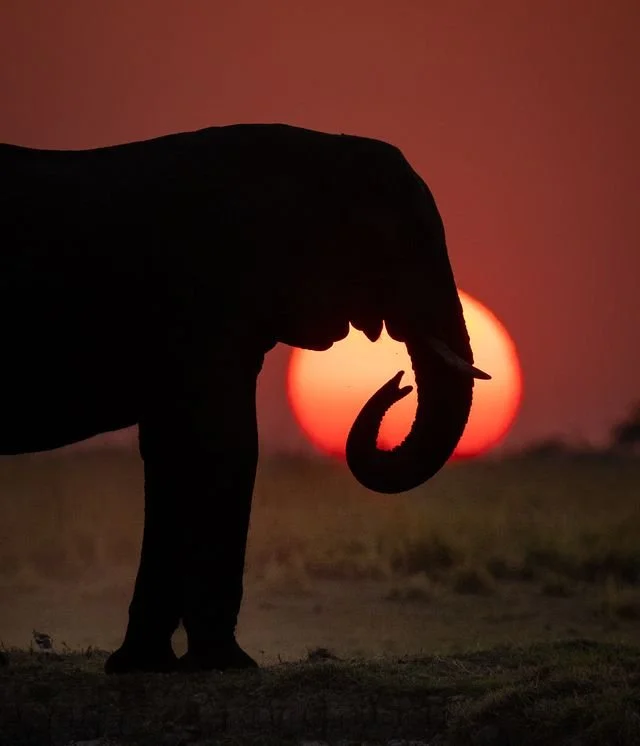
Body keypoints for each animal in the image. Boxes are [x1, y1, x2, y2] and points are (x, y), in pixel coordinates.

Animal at [0, 123, 489, 674]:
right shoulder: (212, 299)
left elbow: (173, 449)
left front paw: (144, 664)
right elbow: (227, 444)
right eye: (395, 243)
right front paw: (226, 663)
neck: (315, 149)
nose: (396, 382)